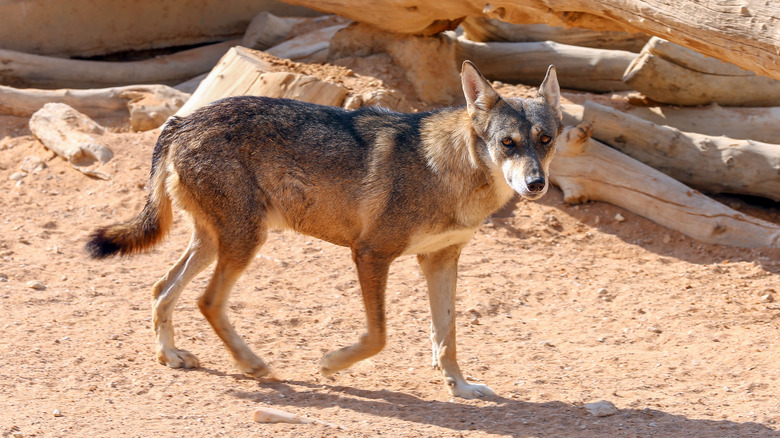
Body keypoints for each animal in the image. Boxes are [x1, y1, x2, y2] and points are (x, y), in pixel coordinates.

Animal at [84, 61, 560, 400]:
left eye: (546, 140)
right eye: (507, 144)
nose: (536, 184)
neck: (447, 172)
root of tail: (181, 121)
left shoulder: (440, 260)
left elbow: (447, 337)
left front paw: (460, 387)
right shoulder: (370, 253)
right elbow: (378, 336)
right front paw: (332, 363)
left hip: (214, 243)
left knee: (161, 288)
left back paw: (169, 356)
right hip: (244, 242)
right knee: (206, 301)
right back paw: (252, 365)